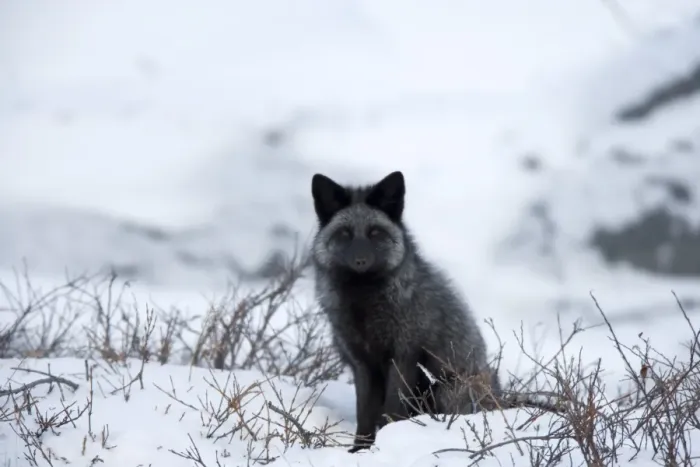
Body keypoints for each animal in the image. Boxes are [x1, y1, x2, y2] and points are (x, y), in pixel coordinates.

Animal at [310, 170, 501, 452]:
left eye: (375, 233)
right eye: (344, 234)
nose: (360, 261)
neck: (364, 305)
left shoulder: (404, 356)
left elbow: (392, 409)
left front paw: (387, 442)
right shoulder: (361, 364)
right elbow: (365, 412)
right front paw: (360, 449)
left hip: (447, 389)